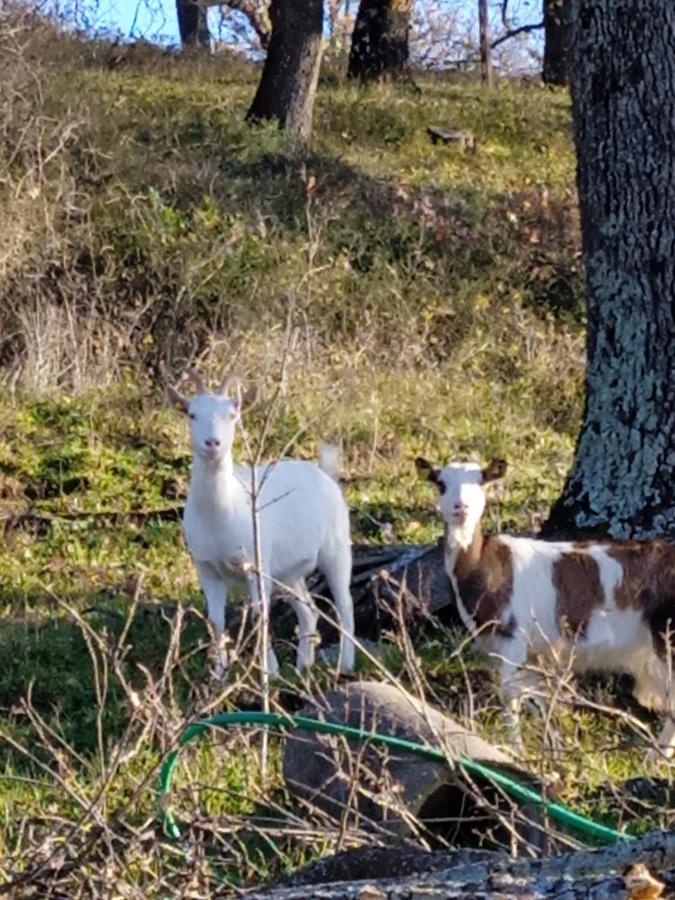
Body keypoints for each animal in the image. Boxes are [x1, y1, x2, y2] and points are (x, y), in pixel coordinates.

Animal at [169, 370, 356, 676]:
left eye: (233, 414)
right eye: (192, 414)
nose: (212, 443)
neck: (223, 511)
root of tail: (324, 474)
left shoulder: (256, 565)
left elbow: (260, 614)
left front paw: (269, 671)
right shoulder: (206, 567)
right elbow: (216, 621)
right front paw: (219, 673)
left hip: (336, 548)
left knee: (344, 604)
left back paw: (345, 664)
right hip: (288, 572)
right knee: (308, 610)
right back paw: (303, 665)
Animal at [414, 458, 675, 760]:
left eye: (481, 481)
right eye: (440, 483)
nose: (461, 506)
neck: (483, 566)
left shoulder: (514, 636)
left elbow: (509, 693)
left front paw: (517, 750)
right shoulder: (528, 651)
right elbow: (539, 696)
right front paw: (554, 746)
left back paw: (656, 758)